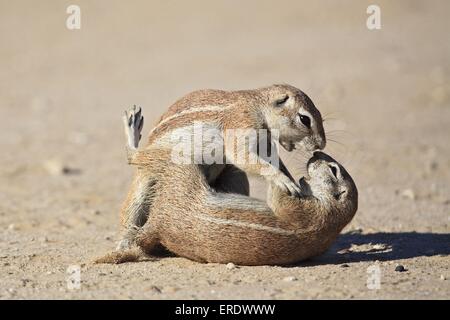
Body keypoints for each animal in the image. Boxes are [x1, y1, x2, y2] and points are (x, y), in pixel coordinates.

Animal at [115, 84, 326, 250]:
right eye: (305, 119)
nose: (321, 145)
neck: (258, 107)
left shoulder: (265, 145)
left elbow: (275, 163)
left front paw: (293, 182)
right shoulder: (241, 124)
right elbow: (241, 155)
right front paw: (285, 181)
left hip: (234, 177)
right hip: (144, 180)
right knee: (131, 201)